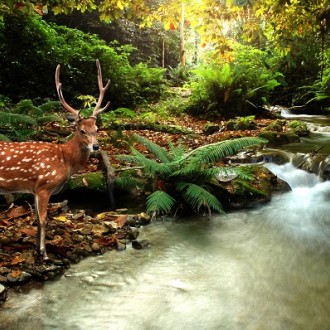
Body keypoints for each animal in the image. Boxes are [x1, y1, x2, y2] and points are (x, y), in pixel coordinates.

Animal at [0, 60, 111, 260]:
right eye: (81, 130)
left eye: (97, 129)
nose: (96, 147)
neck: (64, 159)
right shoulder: (44, 185)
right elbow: (44, 219)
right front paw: (44, 253)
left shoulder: (34, 189)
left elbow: (37, 218)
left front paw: (36, 248)